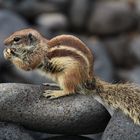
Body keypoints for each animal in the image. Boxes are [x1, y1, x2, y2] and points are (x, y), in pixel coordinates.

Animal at [3, 29, 140, 125]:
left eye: (16, 39)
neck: (38, 46)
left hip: (68, 75)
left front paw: (10, 54)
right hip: (59, 76)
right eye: (13, 34)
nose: (4, 43)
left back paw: (57, 93)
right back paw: (54, 85)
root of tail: (88, 81)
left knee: (70, 90)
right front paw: (7, 53)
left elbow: (27, 66)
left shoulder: (37, 57)